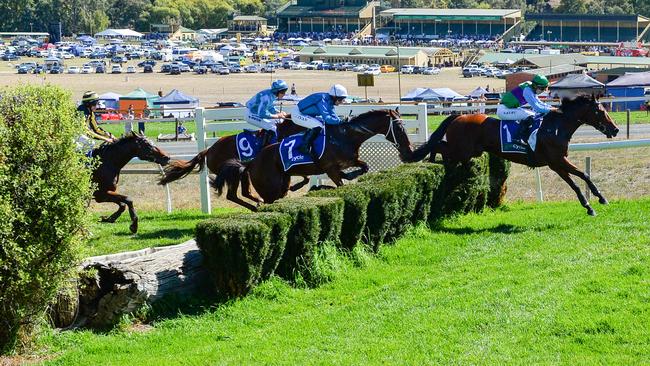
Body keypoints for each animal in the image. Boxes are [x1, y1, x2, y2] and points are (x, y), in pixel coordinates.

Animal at [215, 108, 412, 210]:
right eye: (399, 128)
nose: (408, 150)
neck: (344, 136)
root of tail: (251, 163)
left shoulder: (349, 162)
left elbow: (364, 167)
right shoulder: (330, 169)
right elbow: (340, 182)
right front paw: (324, 186)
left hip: (281, 183)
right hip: (270, 189)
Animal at [410, 93, 616, 217]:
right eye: (600, 111)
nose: (615, 129)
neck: (556, 128)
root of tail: (459, 116)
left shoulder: (559, 161)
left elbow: (584, 175)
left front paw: (601, 198)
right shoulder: (556, 162)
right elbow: (575, 183)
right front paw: (588, 206)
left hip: (467, 151)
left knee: (443, 150)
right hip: (462, 150)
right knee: (437, 145)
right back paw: (431, 161)